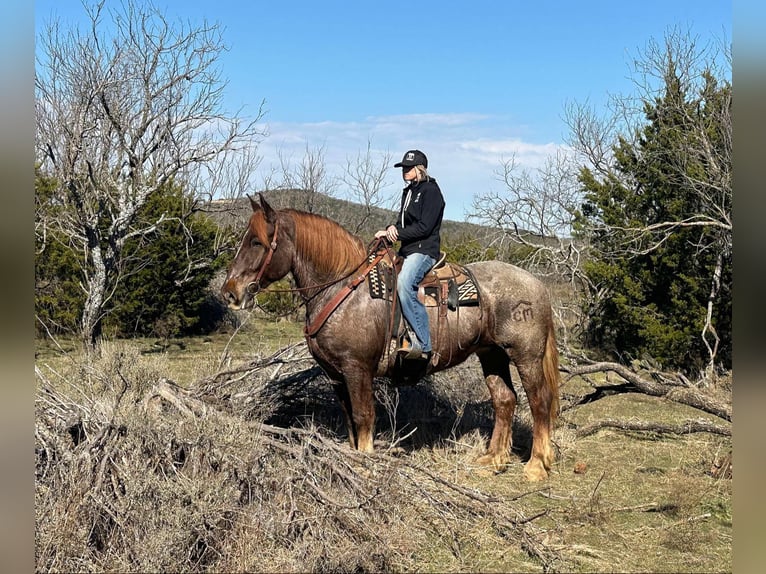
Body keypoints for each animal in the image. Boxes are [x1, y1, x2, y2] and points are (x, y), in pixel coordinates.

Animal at [219, 196, 560, 484]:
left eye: (257, 242)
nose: (230, 292)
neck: (343, 287)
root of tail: (538, 285)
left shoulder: (357, 368)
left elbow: (363, 415)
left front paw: (364, 463)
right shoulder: (335, 374)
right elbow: (349, 417)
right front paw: (352, 457)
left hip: (525, 356)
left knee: (539, 401)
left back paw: (537, 465)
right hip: (492, 354)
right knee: (504, 399)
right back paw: (494, 459)